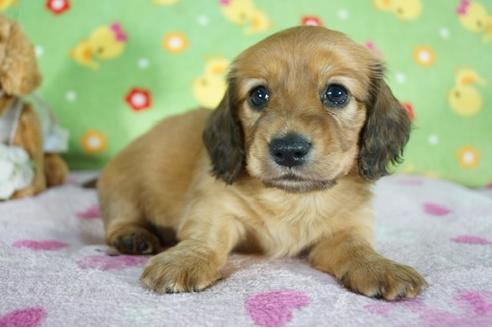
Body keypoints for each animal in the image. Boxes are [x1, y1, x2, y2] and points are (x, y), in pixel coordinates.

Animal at [97, 26, 426, 302]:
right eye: (259, 95)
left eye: (336, 93)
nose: (288, 150)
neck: (294, 198)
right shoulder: (216, 207)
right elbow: (206, 237)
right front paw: (185, 260)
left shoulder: (346, 229)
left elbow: (357, 249)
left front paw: (379, 267)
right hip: (122, 188)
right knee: (118, 219)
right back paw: (133, 237)